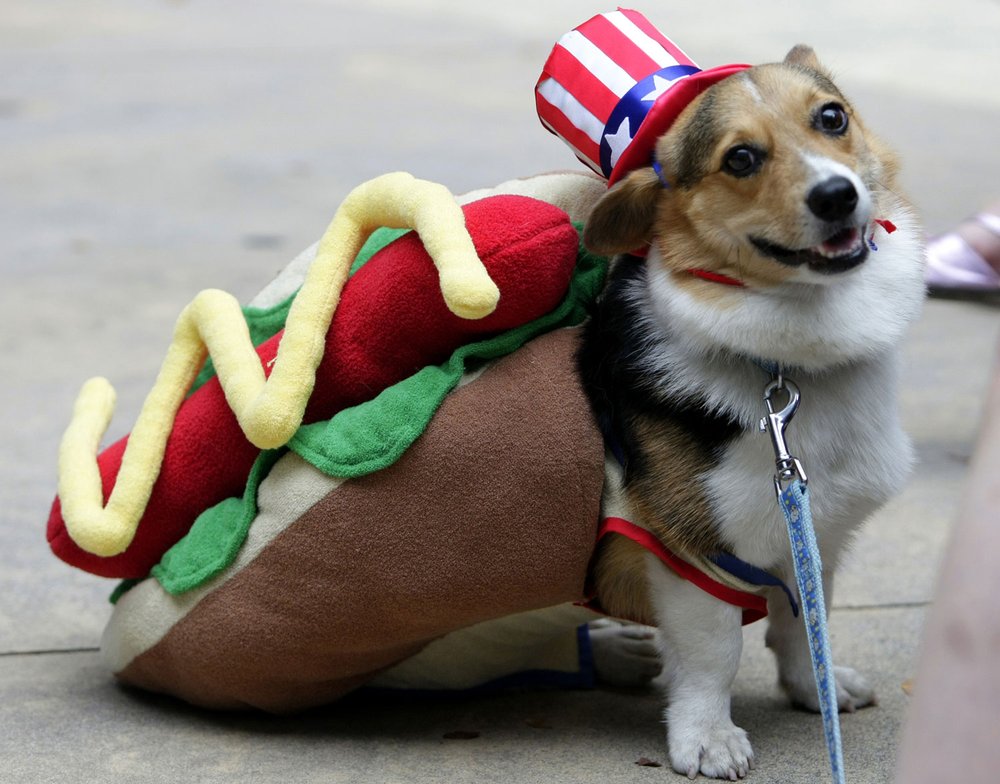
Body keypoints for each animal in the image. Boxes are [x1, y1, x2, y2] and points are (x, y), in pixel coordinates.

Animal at [576, 46, 924, 780]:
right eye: (739, 158)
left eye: (832, 117)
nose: (836, 195)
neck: (787, 369)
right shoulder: (692, 551)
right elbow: (713, 654)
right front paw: (707, 738)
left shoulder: (811, 528)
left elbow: (805, 619)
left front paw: (816, 688)